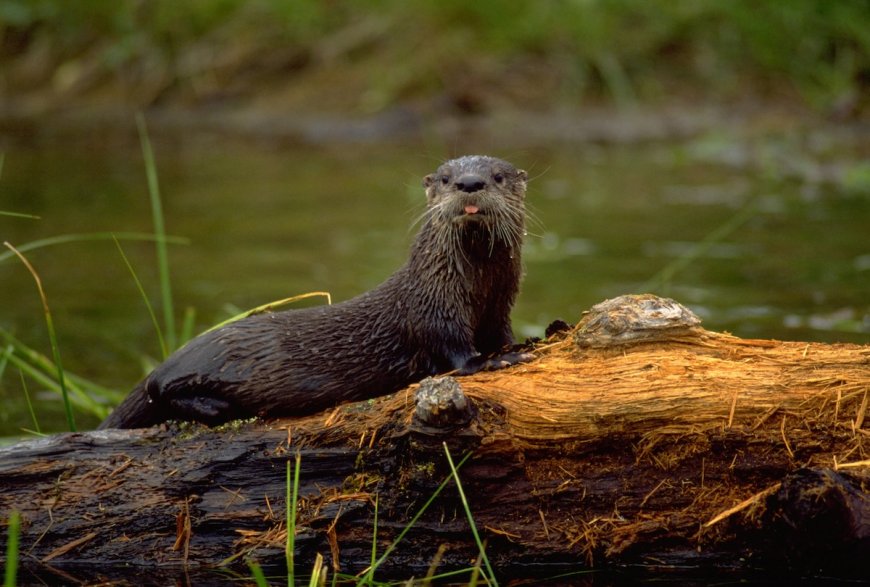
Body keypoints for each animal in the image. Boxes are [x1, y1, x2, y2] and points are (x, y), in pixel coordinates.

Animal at [99, 155, 530, 429]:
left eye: (498, 176)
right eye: (445, 179)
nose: (469, 183)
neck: (474, 285)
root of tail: (170, 358)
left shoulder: (501, 303)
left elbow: (500, 332)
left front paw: (516, 346)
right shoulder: (433, 306)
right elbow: (455, 351)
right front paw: (494, 361)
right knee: (159, 389)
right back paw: (213, 405)